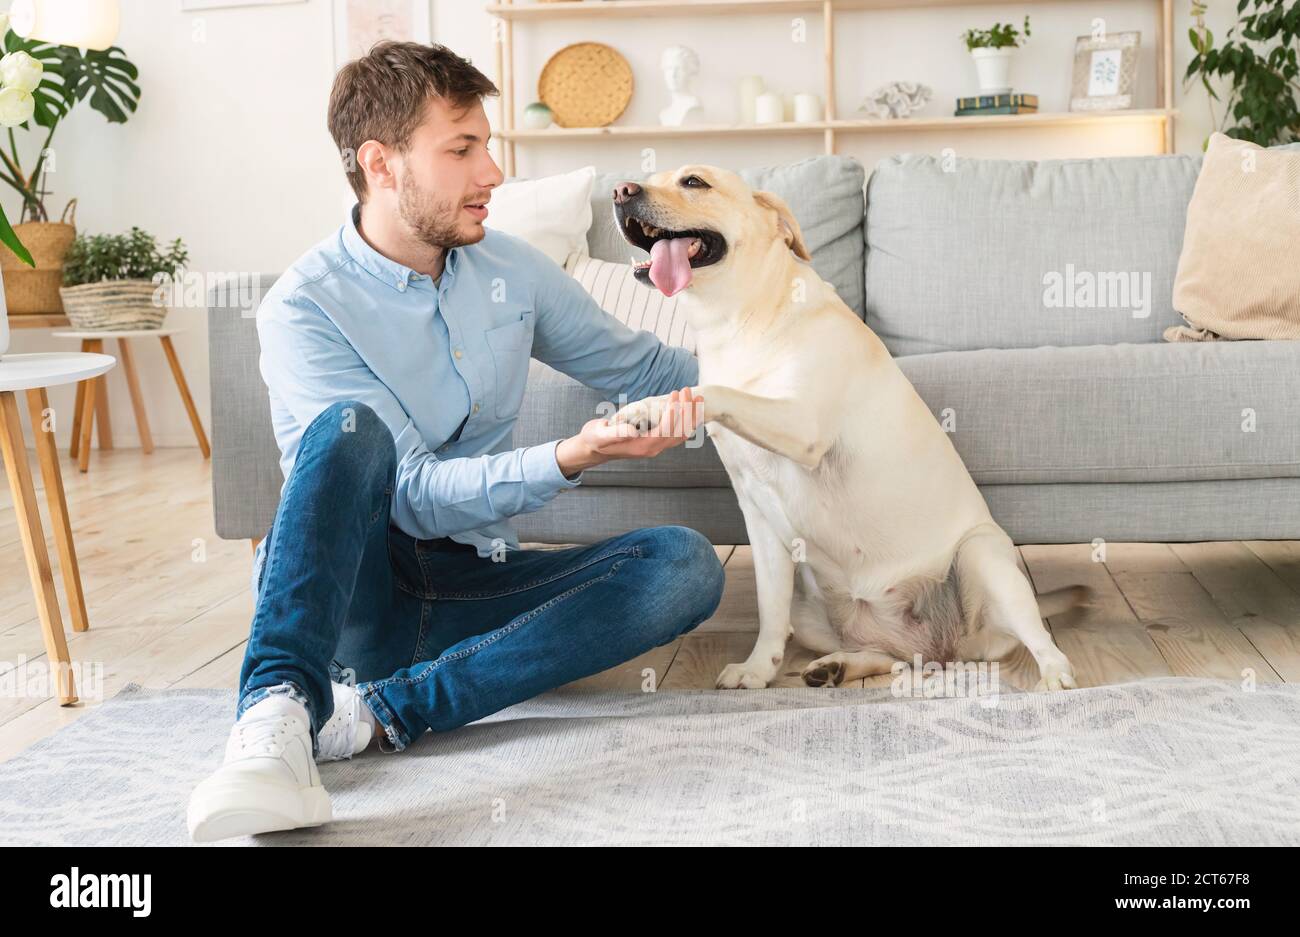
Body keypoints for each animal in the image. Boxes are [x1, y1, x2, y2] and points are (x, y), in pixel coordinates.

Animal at [608, 164, 1086, 691]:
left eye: (694, 182)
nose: (620, 190)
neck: (739, 321)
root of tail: (946, 648)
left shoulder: (802, 424)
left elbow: (714, 392)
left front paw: (651, 408)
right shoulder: (759, 517)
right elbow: (769, 611)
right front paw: (757, 671)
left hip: (982, 558)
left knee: (1038, 638)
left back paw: (1055, 679)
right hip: (819, 616)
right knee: (889, 656)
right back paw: (836, 666)